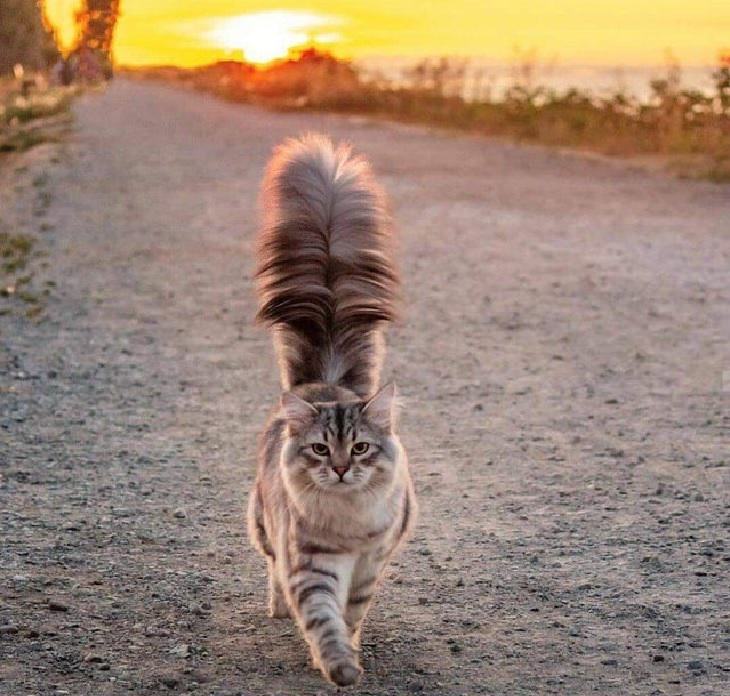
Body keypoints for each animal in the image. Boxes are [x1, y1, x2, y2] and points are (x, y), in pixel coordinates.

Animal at [246, 135, 412, 684]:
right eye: (321, 449)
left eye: (359, 448)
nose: (340, 469)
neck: (347, 523)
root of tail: (328, 379)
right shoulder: (309, 564)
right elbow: (323, 617)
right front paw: (339, 666)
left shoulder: (369, 563)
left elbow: (352, 612)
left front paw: (352, 650)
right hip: (263, 525)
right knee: (273, 571)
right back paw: (278, 607)